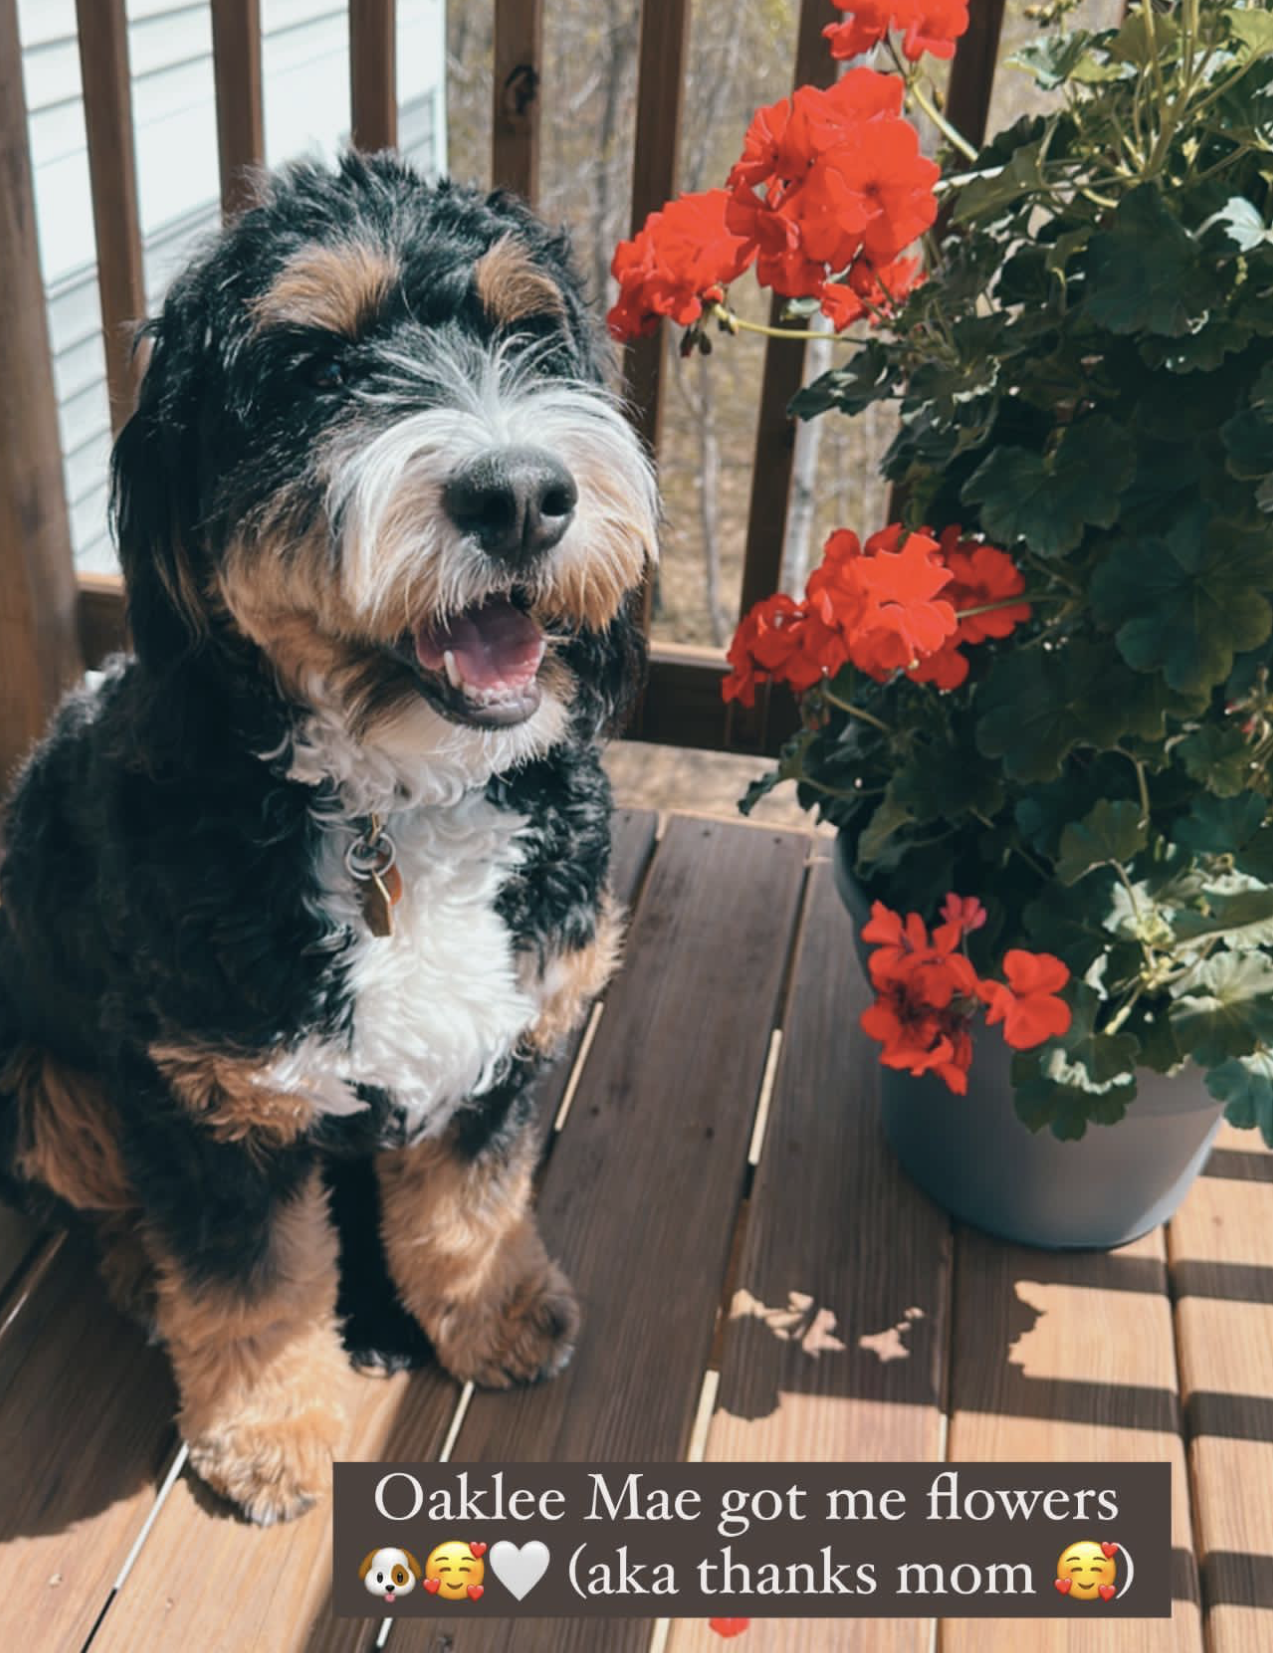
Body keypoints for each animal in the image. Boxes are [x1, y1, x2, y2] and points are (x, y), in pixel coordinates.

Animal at [0, 152, 654, 1520]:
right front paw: (265, 1433)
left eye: (528, 335)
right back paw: (139, 1275)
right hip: (41, 1086)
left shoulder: (506, 1034)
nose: (523, 495)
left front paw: (494, 1310)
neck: (401, 805)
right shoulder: (209, 1099)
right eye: (311, 366)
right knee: (112, 1207)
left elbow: (469, 1204)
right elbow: (249, 1284)